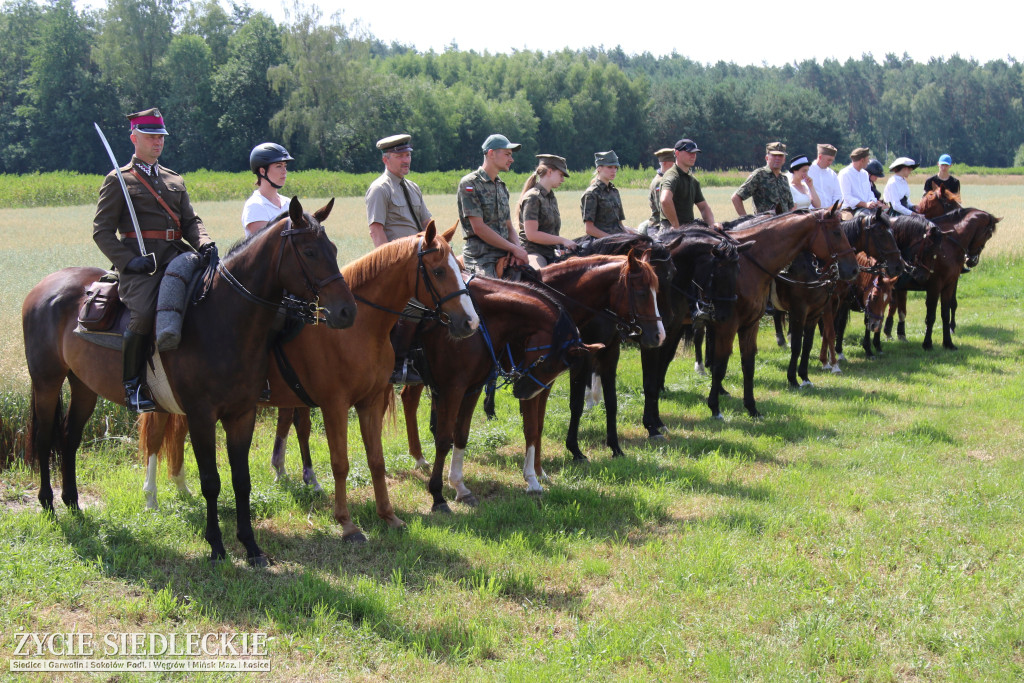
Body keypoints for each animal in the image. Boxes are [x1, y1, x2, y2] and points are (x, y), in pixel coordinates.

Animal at [23, 197, 356, 565]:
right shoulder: (200, 416)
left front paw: (251, 546)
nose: (347, 311)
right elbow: (211, 481)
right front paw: (216, 545)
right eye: (309, 251)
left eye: (333, 248)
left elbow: (241, 480)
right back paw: (48, 503)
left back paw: (72, 502)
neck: (224, 317)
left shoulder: (243, 414)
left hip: (84, 387)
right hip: (46, 382)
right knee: (45, 438)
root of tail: (45, 285)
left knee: (69, 437)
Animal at [137, 224, 483, 544]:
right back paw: (152, 499)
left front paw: (388, 516)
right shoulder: (335, 407)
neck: (358, 328)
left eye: (458, 268)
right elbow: (340, 463)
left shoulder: (370, 403)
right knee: (155, 438)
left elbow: (376, 460)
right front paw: (347, 524)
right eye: (438, 271)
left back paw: (182, 487)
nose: (470, 323)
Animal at [700, 204, 860, 417]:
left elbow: (805, 346)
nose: (854, 270)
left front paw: (804, 377)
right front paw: (793, 379)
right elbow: (797, 346)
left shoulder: (811, 313)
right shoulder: (795, 312)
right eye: (836, 232)